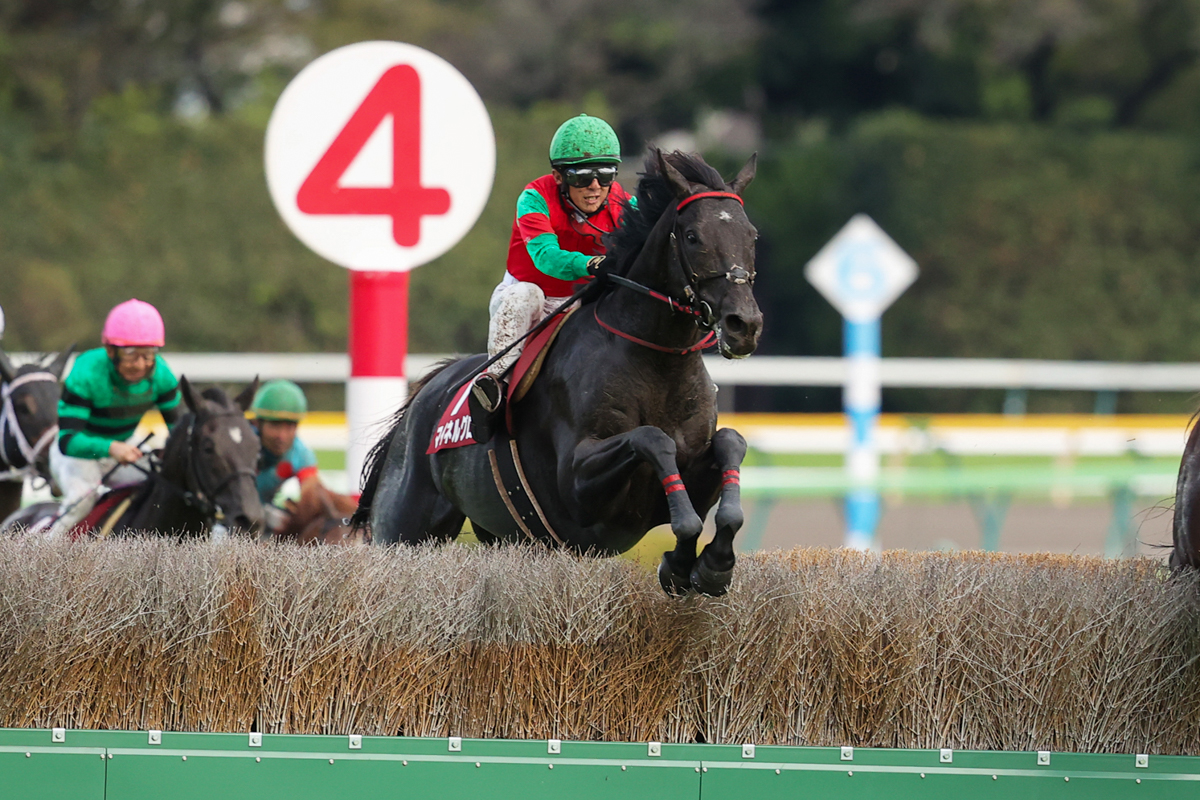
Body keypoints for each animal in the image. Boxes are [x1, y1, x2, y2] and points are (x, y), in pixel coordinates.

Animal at [355, 149, 763, 594]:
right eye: (692, 236)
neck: (658, 361)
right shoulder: (578, 487)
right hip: (403, 529)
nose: (744, 324)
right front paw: (683, 557)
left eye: (752, 235)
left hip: (509, 537)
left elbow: (730, 445)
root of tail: (422, 400)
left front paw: (708, 564)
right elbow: (652, 440)